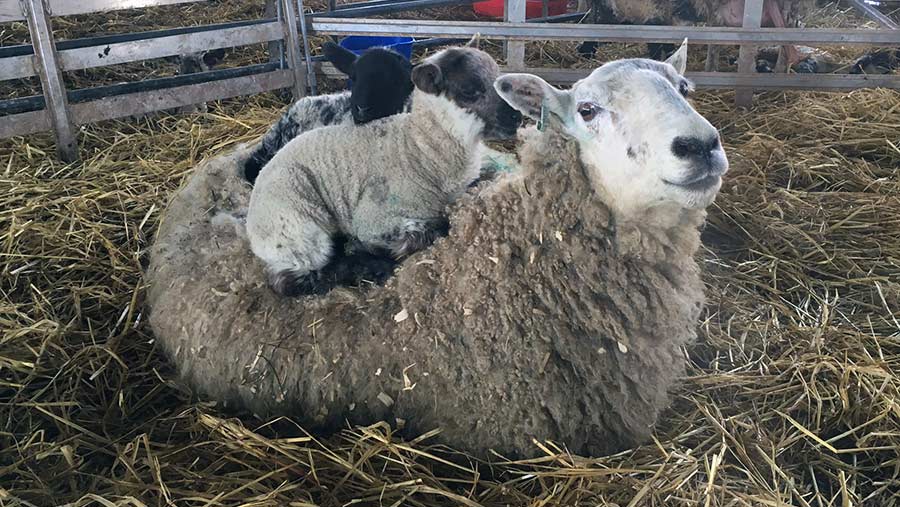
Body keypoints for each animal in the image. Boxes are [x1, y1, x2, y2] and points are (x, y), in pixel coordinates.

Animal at [246, 44, 524, 298]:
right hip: (297, 229)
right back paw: (367, 268)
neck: (419, 149)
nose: (517, 117)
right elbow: (430, 229)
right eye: (469, 90)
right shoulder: (374, 220)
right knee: (293, 279)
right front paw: (379, 251)